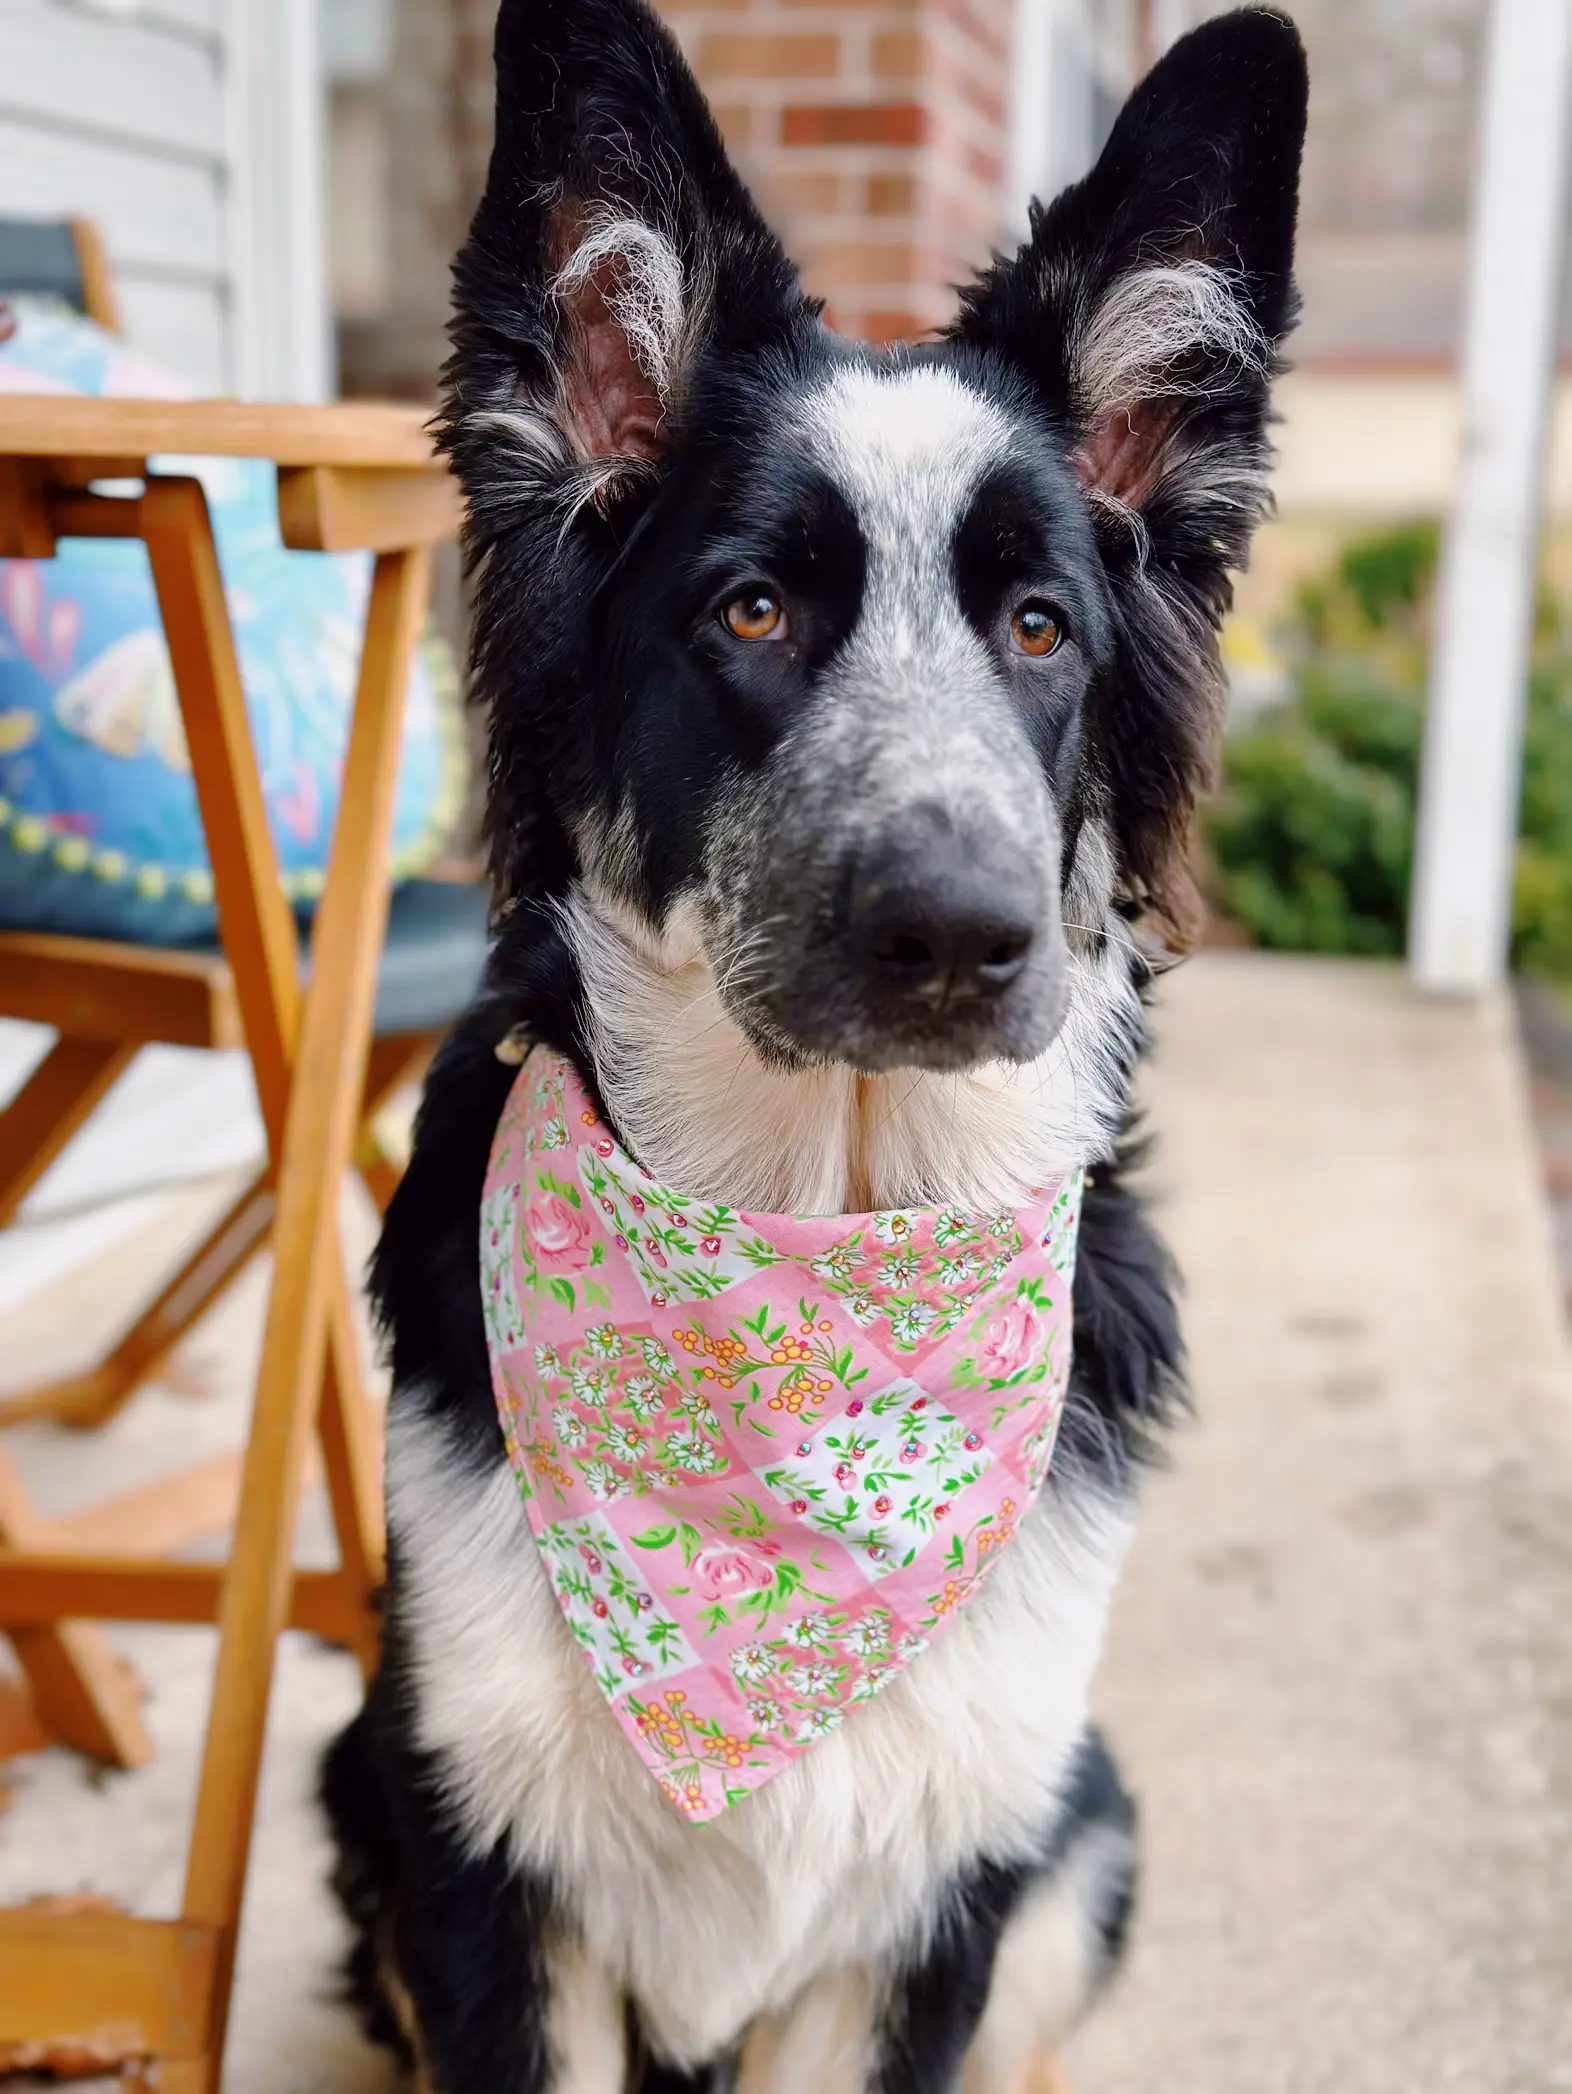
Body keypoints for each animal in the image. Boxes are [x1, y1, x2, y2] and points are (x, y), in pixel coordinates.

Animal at [326, 8, 1306, 2085]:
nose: (955, 932)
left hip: (1087, 1829)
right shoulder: (476, 1860)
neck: (820, 1233)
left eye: (1040, 628)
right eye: (752, 608)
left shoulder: (943, 1890)